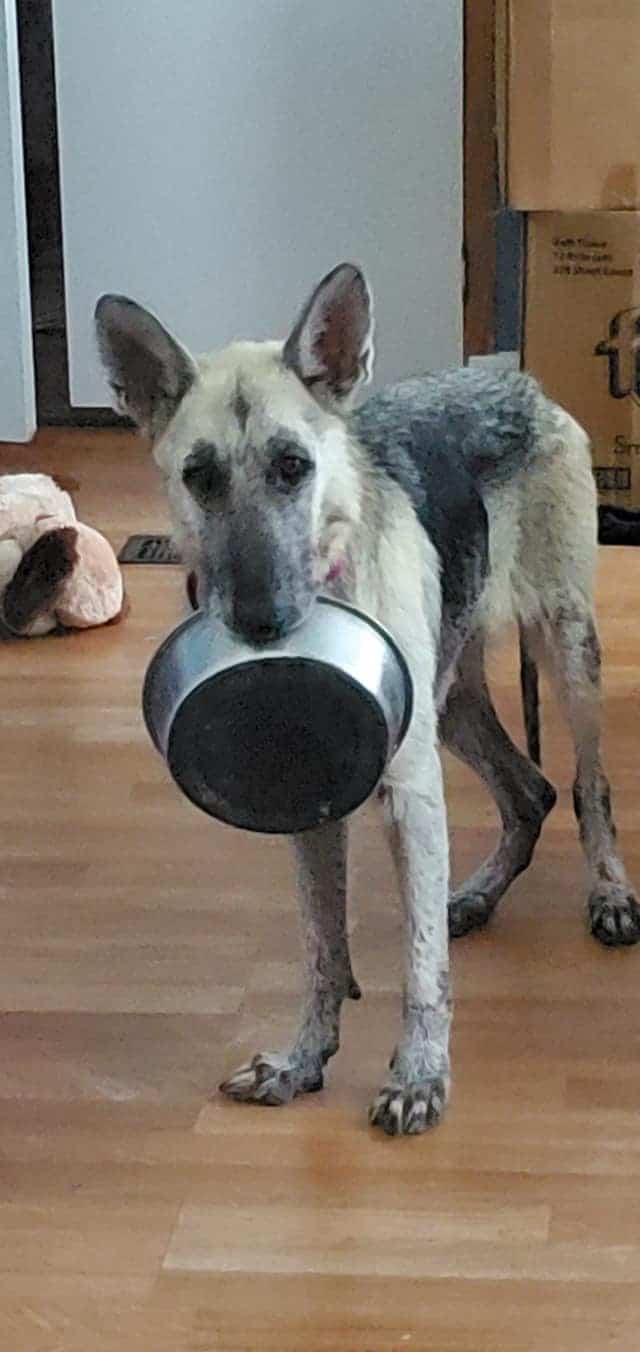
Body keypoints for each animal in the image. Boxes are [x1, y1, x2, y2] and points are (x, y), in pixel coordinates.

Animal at [96, 260, 638, 1130]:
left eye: (293, 467)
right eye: (199, 479)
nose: (262, 622)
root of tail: (517, 380)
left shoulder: (409, 796)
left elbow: (421, 968)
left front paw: (419, 1073)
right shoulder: (307, 808)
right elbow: (324, 948)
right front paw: (305, 1057)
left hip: (566, 649)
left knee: (589, 787)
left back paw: (611, 893)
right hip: (448, 700)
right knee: (530, 792)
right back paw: (477, 895)